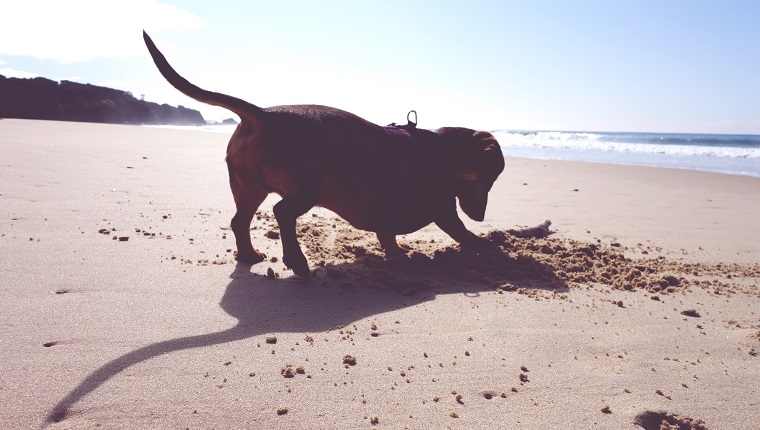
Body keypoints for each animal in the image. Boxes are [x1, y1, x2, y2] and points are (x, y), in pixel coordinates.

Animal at [145, 31, 508, 278]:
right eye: (491, 178)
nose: (482, 217)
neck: (442, 151)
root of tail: (262, 115)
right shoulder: (445, 211)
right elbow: (460, 232)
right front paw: (487, 246)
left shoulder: (388, 218)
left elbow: (389, 237)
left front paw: (399, 254)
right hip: (307, 188)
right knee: (282, 212)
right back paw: (298, 262)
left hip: (249, 187)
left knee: (240, 220)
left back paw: (249, 255)